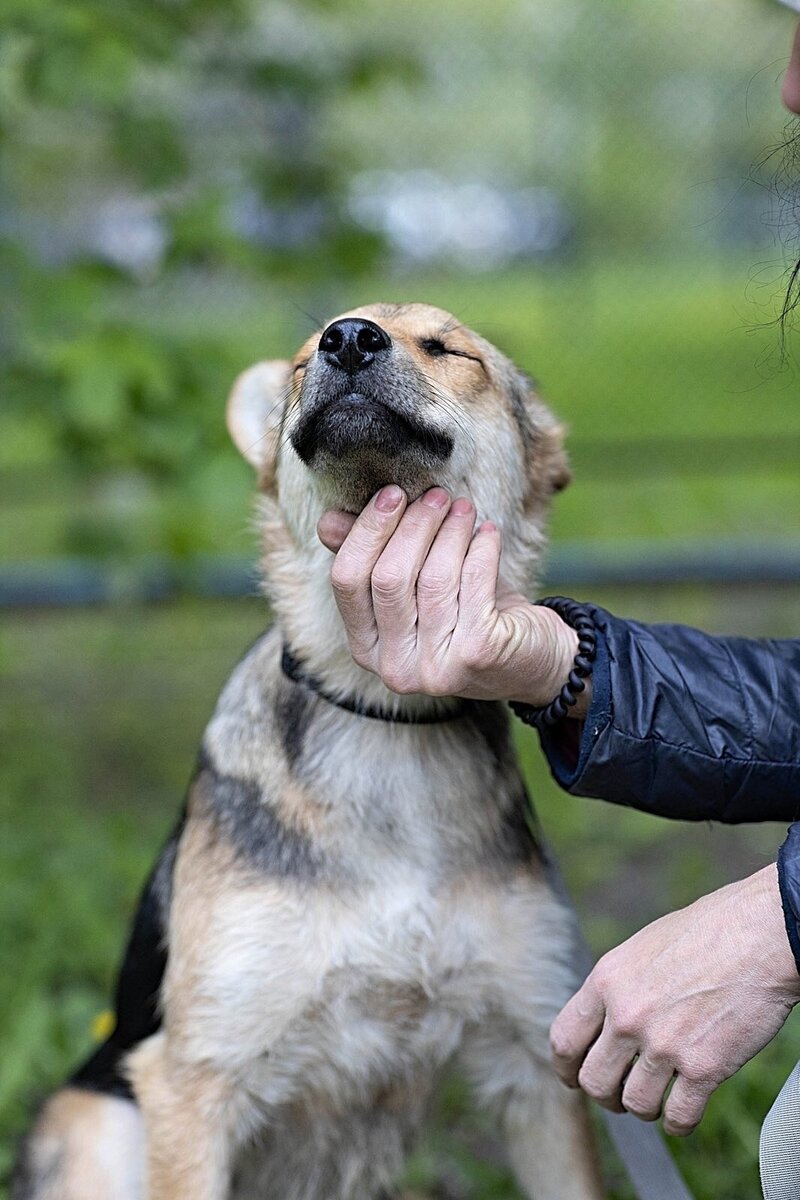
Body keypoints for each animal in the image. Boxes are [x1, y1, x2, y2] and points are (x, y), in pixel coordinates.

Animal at [12, 304, 604, 1195]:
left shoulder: (535, 1060)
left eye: (448, 348)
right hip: (100, 1125)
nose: (349, 338)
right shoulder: (194, 1079)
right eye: (302, 362)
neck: (382, 714)